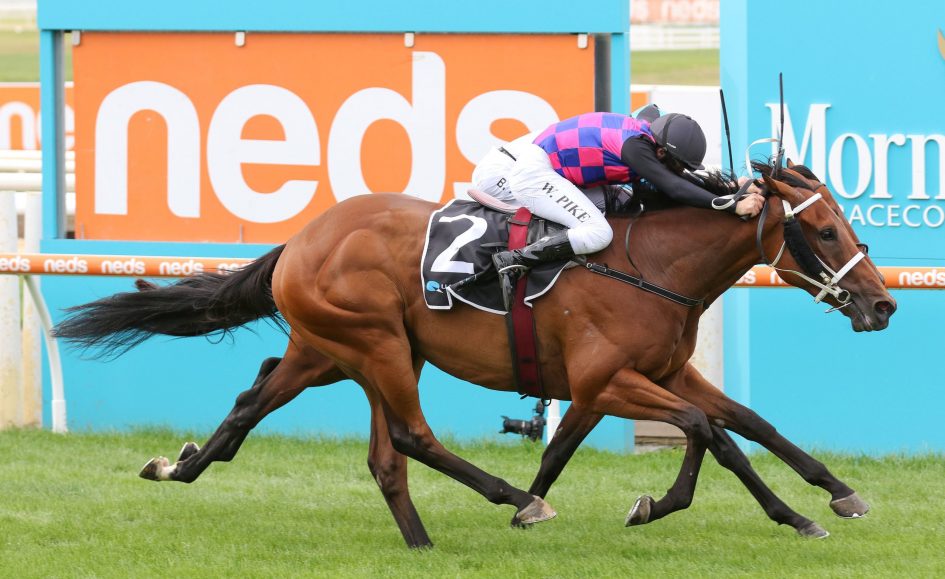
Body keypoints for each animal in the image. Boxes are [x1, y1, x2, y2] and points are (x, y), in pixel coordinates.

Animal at [53, 161, 896, 548]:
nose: (882, 303)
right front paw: (782, 514)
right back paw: (512, 498)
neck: (651, 262)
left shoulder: (659, 370)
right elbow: (707, 430)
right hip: (375, 345)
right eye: (824, 231)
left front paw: (837, 493)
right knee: (409, 436)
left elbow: (745, 421)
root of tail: (302, 238)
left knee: (272, 409)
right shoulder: (605, 379)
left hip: (338, 351)